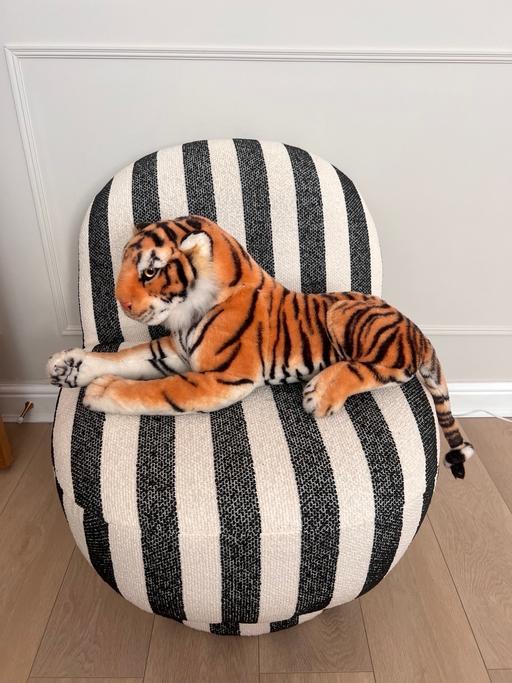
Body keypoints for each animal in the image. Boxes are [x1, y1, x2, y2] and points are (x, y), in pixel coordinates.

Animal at [47, 215, 475, 479]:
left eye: (149, 272)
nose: (121, 303)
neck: (193, 306)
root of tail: (417, 330)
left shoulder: (223, 378)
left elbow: (157, 391)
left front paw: (102, 391)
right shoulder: (174, 351)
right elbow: (126, 356)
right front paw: (70, 365)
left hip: (347, 315)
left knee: (375, 368)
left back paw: (321, 392)